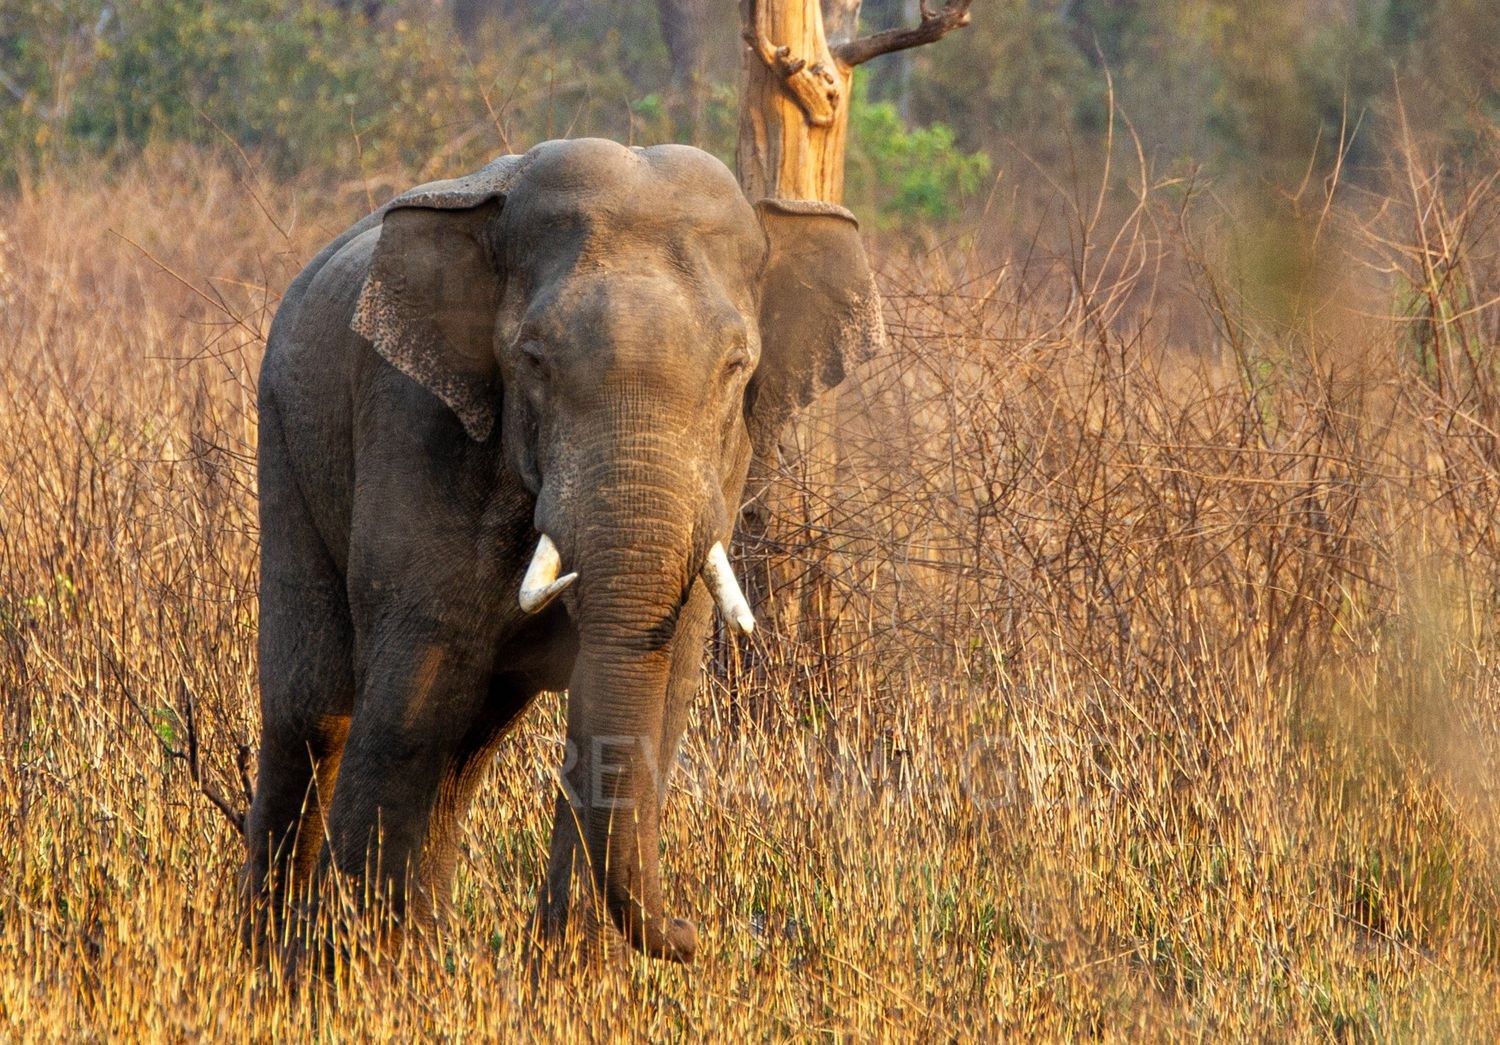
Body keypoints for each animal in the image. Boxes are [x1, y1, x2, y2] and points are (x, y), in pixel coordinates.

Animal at [243, 137, 884, 964]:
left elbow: (653, 692)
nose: (697, 930)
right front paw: (351, 970)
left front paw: (576, 973)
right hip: (284, 436)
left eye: (737, 367)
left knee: (469, 741)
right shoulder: (413, 420)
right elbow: (416, 684)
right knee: (316, 714)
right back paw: (268, 955)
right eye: (534, 360)